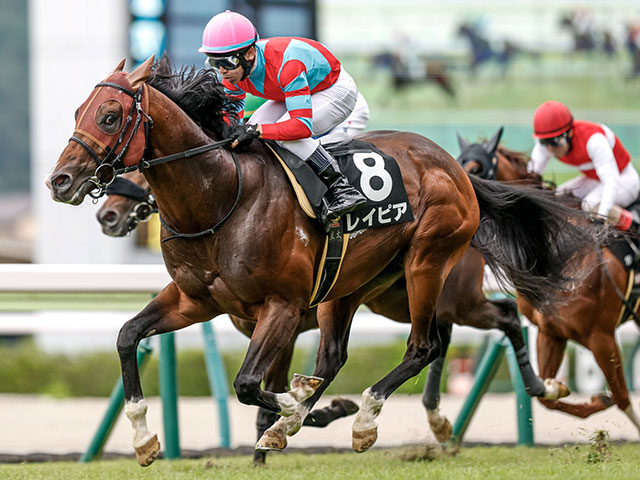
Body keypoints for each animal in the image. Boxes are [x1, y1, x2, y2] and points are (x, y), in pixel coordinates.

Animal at [47, 55, 604, 466]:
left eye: (110, 116)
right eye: (76, 112)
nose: (61, 182)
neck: (221, 196)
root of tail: (455, 167)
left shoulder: (283, 310)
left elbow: (252, 385)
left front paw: (290, 420)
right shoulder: (194, 300)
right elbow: (128, 337)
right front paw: (145, 441)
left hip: (430, 264)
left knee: (432, 342)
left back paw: (368, 420)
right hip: (353, 287)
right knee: (347, 355)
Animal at [457, 128, 640, 435]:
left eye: (476, 168)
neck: (564, 254)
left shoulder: (601, 337)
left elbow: (622, 397)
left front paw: (601, 398)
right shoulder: (550, 332)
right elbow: (545, 396)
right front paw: (566, 390)